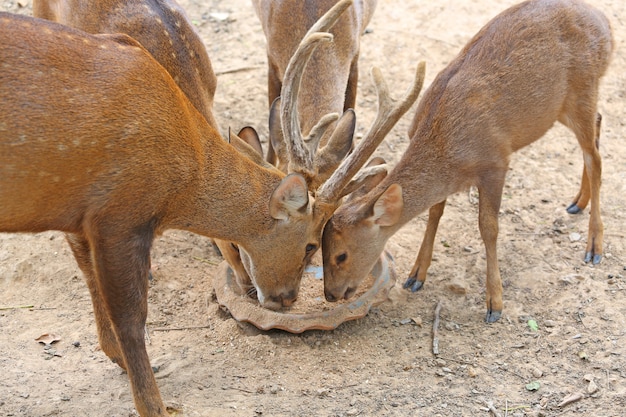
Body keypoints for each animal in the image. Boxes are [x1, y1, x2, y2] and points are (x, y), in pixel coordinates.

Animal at [320, 0, 612, 322]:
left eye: (341, 254)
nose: (330, 294)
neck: (448, 153)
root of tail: (606, 25)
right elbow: (435, 212)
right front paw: (416, 276)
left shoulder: (496, 161)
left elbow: (488, 227)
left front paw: (494, 304)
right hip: (562, 108)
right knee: (598, 127)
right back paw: (577, 202)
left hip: (584, 89)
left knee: (596, 158)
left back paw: (594, 247)